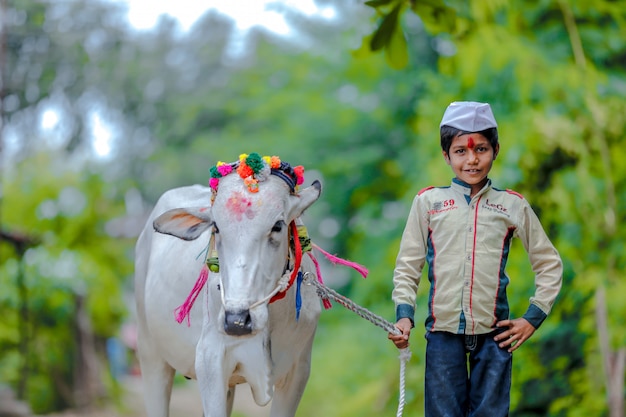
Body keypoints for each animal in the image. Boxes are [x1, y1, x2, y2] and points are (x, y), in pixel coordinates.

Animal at [135, 156, 322, 416]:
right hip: (149, 352)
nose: (237, 320)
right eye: (216, 227)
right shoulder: (209, 361)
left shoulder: (299, 370)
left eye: (277, 225)